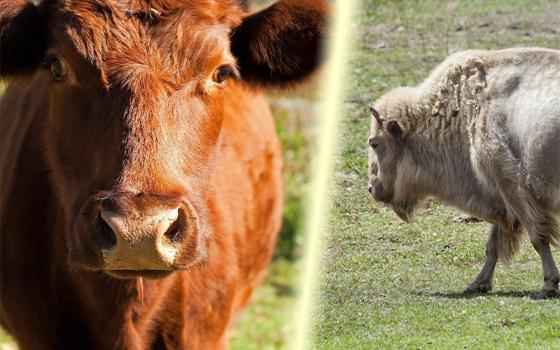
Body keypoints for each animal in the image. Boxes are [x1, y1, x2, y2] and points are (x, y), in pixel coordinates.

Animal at [368, 46, 560, 298]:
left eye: (374, 143)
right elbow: (494, 244)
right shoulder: (502, 197)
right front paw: (477, 284)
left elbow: (538, 236)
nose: (372, 187)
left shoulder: (512, 187)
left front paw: (549, 285)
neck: (468, 108)